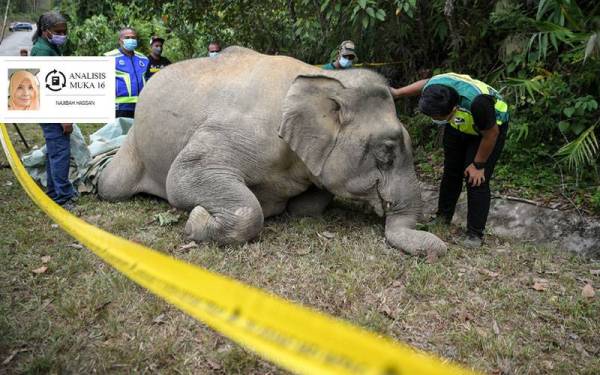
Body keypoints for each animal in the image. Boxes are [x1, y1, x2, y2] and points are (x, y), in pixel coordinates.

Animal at [98, 46, 446, 258]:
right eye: (386, 151)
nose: (440, 247)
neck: (327, 80)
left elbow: (309, 205)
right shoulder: (242, 130)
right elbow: (182, 177)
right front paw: (197, 219)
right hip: (134, 145)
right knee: (111, 186)